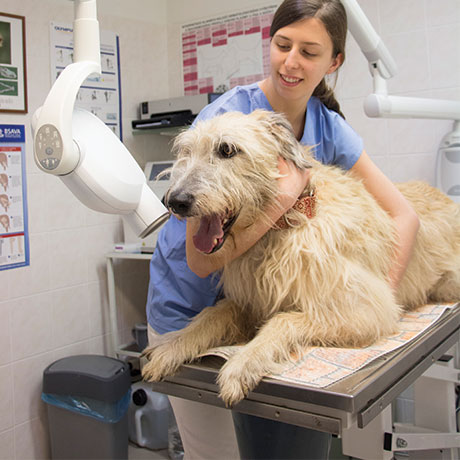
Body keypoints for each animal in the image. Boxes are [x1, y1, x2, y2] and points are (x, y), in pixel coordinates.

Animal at [143, 108, 460, 406]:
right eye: (185, 152)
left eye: (227, 150)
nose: (175, 201)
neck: (287, 221)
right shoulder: (251, 301)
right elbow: (213, 315)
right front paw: (172, 346)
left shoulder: (368, 310)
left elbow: (283, 320)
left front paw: (242, 363)